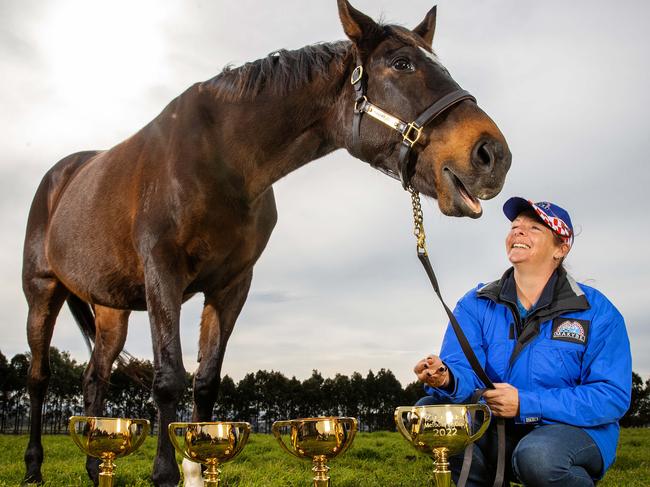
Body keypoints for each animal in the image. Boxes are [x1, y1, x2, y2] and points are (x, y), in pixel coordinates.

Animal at [21, 1, 512, 486]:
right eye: (402, 63)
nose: (493, 155)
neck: (222, 159)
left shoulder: (232, 285)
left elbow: (206, 381)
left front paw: (199, 465)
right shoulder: (163, 273)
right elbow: (168, 379)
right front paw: (165, 473)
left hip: (112, 308)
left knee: (94, 377)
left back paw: (93, 466)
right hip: (43, 292)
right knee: (39, 376)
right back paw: (32, 467)